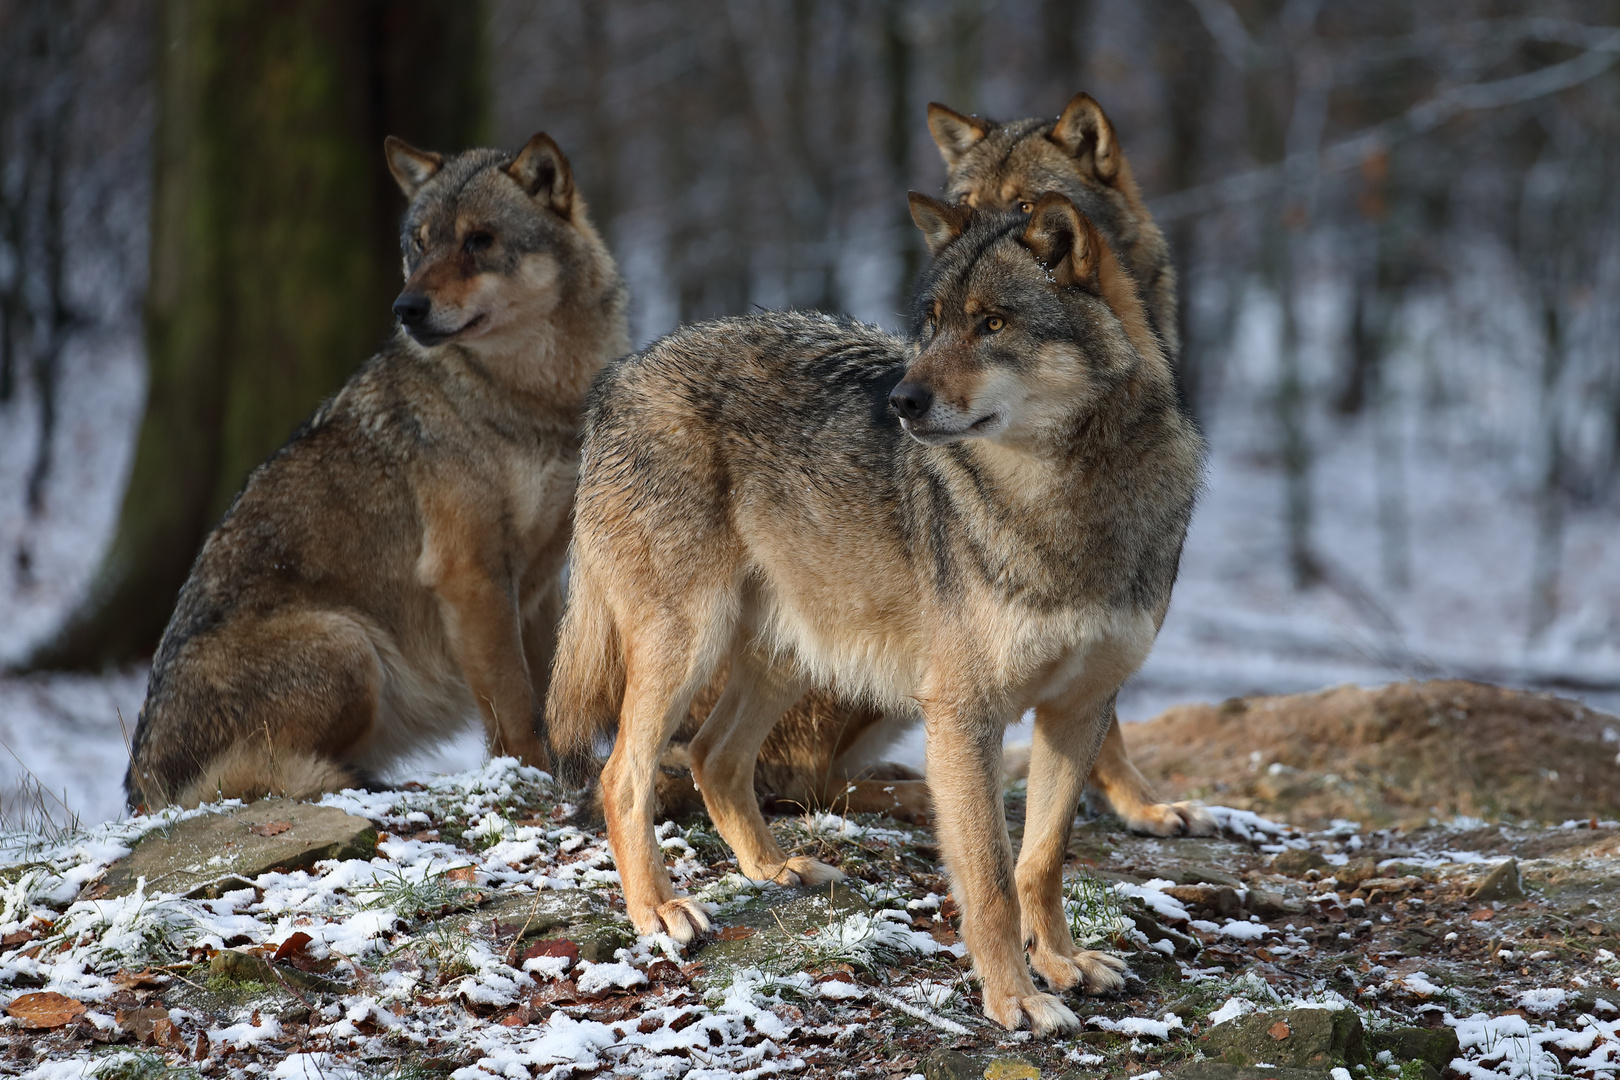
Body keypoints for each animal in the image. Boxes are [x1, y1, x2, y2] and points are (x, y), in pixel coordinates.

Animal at [123, 132, 628, 809]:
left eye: (478, 241)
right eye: (418, 244)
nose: (407, 307)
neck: (529, 401)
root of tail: (144, 791)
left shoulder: (540, 582)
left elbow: (545, 691)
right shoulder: (469, 575)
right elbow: (515, 704)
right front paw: (533, 776)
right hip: (352, 644)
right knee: (262, 775)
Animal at [554, 190, 1205, 1036]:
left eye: (992, 323)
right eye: (931, 322)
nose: (900, 401)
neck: (1065, 502)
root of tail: (618, 376)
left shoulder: (1080, 709)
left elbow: (1042, 859)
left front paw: (1063, 964)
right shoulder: (964, 715)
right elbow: (990, 879)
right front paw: (1015, 998)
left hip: (792, 655)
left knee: (714, 758)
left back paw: (773, 868)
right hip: (692, 646)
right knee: (622, 776)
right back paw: (659, 911)